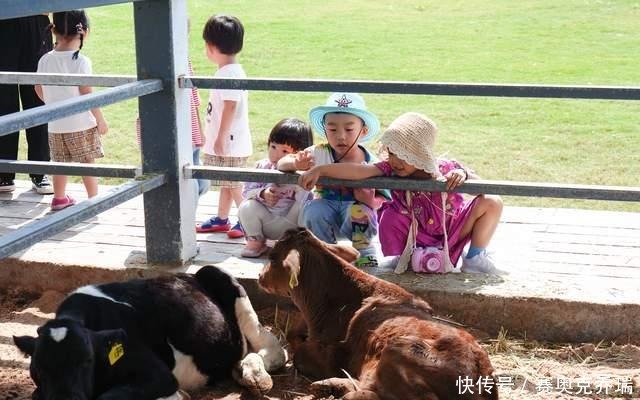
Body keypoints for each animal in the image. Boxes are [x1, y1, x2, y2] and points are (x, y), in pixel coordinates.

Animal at [11, 266, 288, 400]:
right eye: (38, 369)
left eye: (86, 361)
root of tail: (188, 275)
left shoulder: (159, 375)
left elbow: (111, 396)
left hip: (224, 280)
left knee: (272, 349)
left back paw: (255, 374)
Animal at [258, 228, 498, 400]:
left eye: (272, 256)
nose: (259, 277)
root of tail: (480, 371)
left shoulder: (329, 355)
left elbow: (298, 355)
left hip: (400, 349)